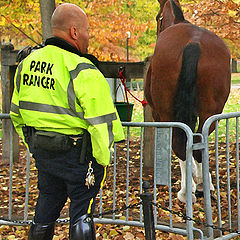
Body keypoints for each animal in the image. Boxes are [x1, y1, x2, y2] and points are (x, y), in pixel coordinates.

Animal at [144, 0, 231, 202]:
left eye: (158, 18)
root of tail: (194, 42)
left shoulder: (159, 115)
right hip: (211, 112)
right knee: (199, 141)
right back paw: (202, 186)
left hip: (167, 113)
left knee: (180, 144)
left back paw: (186, 192)